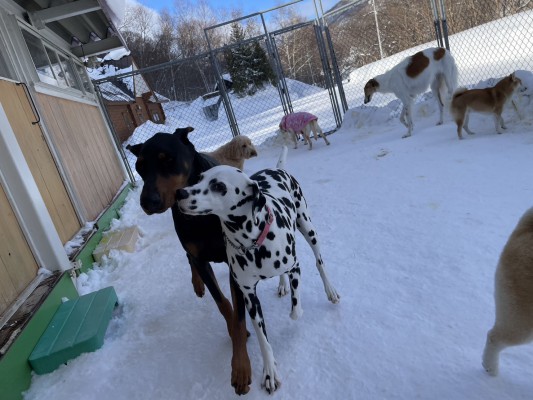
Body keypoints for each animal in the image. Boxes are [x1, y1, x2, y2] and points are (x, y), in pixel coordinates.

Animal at [177, 165, 338, 394]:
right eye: (199, 178)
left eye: (219, 186)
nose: (180, 193)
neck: (252, 245)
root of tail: (277, 168)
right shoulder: (249, 297)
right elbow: (263, 340)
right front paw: (270, 371)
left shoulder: (295, 267)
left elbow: (296, 310)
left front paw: (296, 308)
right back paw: (282, 285)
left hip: (308, 227)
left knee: (319, 261)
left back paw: (330, 290)